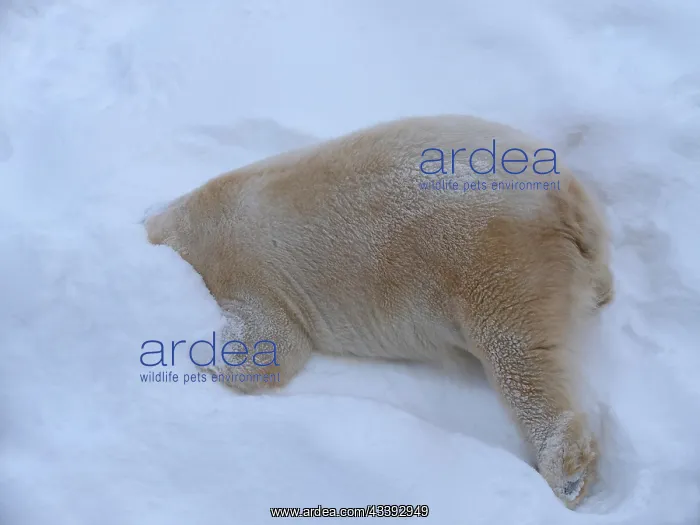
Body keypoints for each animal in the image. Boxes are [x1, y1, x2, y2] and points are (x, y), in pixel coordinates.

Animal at [143, 114, 614, 509]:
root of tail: (561, 204)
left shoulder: (243, 266)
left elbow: (269, 348)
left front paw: (199, 352)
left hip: (495, 262)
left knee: (518, 356)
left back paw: (565, 474)